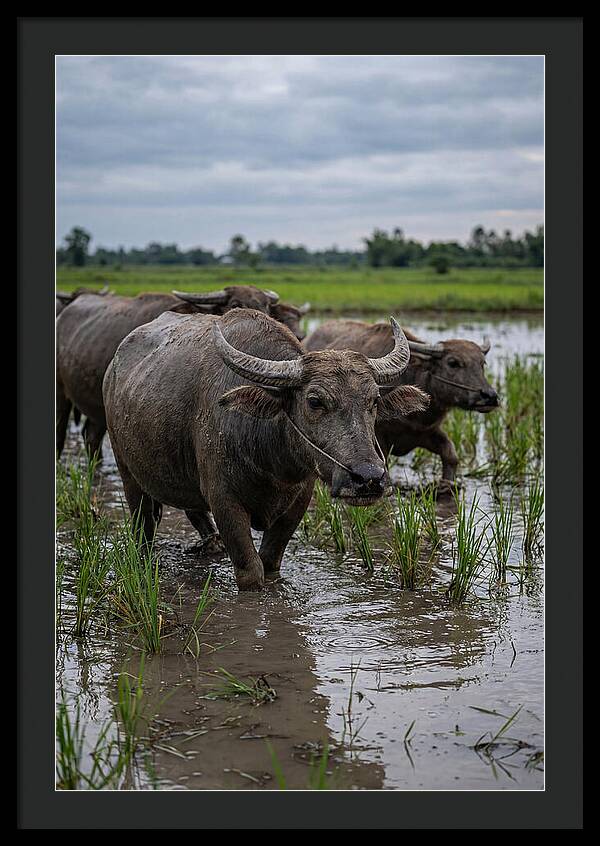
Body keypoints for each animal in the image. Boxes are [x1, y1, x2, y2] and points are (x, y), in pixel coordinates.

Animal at [103, 309, 429, 590]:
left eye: (373, 400)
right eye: (314, 401)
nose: (368, 478)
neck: (272, 461)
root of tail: (113, 369)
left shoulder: (298, 502)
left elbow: (270, 564)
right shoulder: (224, 501)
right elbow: (251, 572)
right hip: (127, 471)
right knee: (143, 526)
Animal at [304, 319, 499, 484]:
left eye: (482, 363)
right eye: (453, 363)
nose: (490, 396)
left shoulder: (427, 432)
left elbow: (451, 455)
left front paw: (447, 485)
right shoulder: (378, 439)